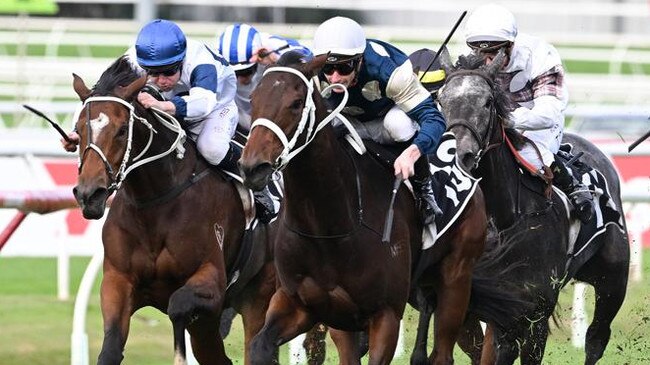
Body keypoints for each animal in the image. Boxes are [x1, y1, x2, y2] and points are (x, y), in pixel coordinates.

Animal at [69, 54, 274, 364]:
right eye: (79, 129)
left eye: (122, 130)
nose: (89, 194)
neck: (154, 206)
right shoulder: (117, 280)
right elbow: (110, 348)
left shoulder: (212, 282)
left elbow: (177, 305)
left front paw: (179, 355)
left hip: (258, 295)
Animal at [238, 52, 528, 362]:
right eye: (253, 99)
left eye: (294, 103)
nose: (253, 167)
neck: (330, 225)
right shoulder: (300, 304)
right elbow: (259, 345)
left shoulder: (386, 315)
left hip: (456, 278)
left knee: (443, 352)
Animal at [436, 49, 628, 364]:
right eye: (441, 100)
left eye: (487, 102)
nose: (459, 155)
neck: (505, 221)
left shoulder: (536, 309)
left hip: (612, 279)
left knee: (596, 339)